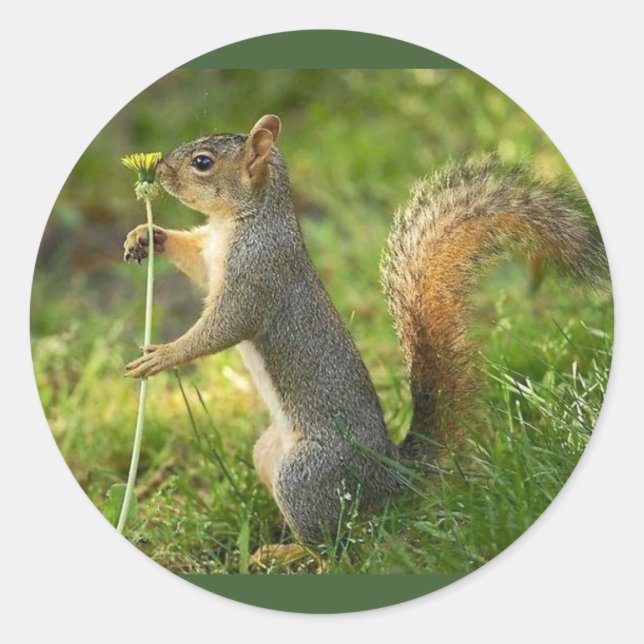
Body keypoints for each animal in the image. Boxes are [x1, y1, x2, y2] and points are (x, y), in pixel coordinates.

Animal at [123, 114, 608, 546]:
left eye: (202, 162)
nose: (159, 169)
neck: (239, 221)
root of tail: (390, 475)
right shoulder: (211, 259)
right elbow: (194, 263)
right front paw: (145, 235)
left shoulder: (258, 274)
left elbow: (224, 328)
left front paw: (163, 355)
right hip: (269, 456)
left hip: (305, 476)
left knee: (337, 543)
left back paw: (284, 552)